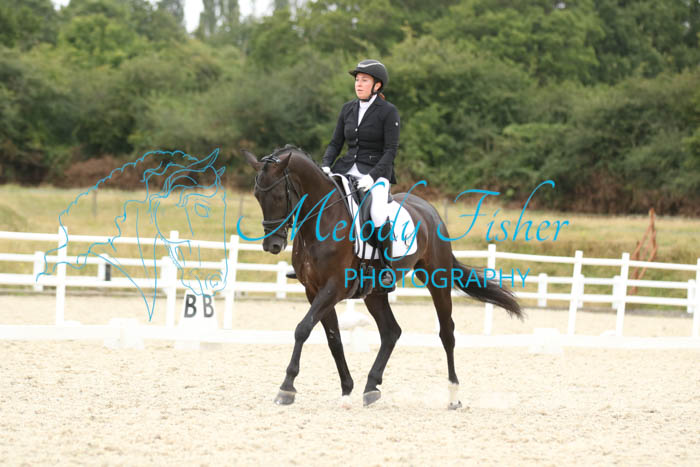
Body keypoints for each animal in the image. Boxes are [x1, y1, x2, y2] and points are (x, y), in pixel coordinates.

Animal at [242, 146, 522, 409]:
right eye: (257, 196)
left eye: (279, 196)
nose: (272, 245)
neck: (321, 222)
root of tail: (430, 211)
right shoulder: (314, 290)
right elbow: (333, 339)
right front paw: (346, 389)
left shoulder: (333, 287)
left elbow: (302, 329)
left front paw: (286, 388)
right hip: (374, 293)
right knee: (391, 332)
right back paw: (371, 387)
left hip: (436, 279)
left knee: (446, 333)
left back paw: (453, 396)